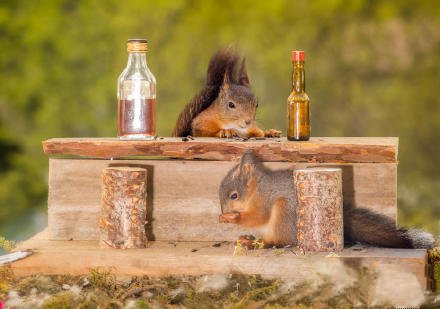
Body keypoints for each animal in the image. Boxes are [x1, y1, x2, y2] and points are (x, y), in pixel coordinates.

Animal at [218, 150, 434, 249]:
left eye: (234, 195)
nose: (224, 212)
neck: (256, 190)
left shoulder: (265, 199)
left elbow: (259, 216)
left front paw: (232, 217)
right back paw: (249, 239)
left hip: (284, 212)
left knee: (280, 241)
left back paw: (256, 243)